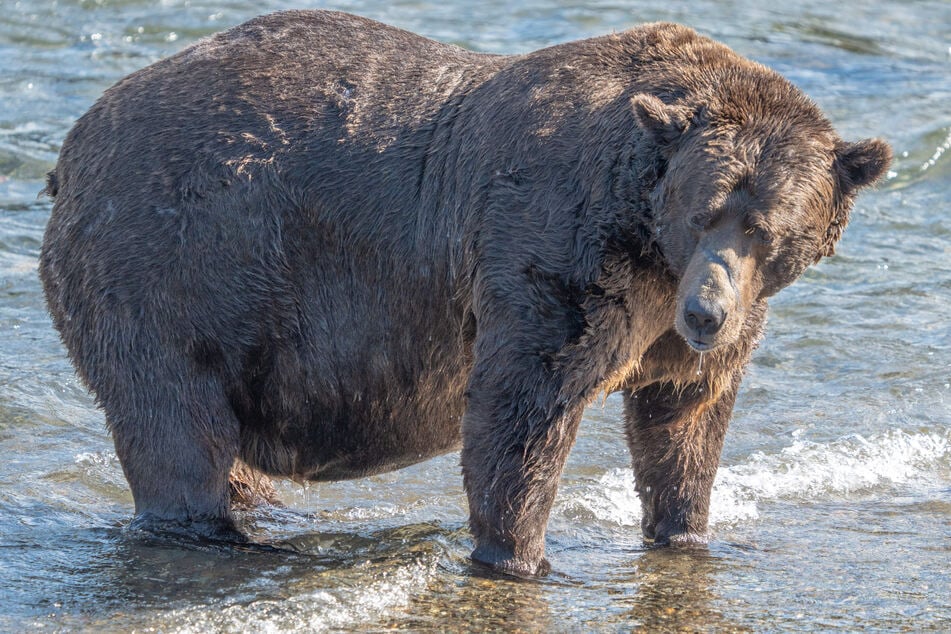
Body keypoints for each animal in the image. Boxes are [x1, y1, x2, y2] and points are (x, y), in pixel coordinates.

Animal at [39, 10, 891, 577]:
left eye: (766, 228)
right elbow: (524, 408)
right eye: (703, 210)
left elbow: (684, 419)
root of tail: (72, 145)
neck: (648, 240)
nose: (706, 313)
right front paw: (518, 555)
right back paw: (218, 532)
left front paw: (684, 531)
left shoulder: (680, 321)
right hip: (173, 261)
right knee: (175, 422)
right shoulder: (555, 250)